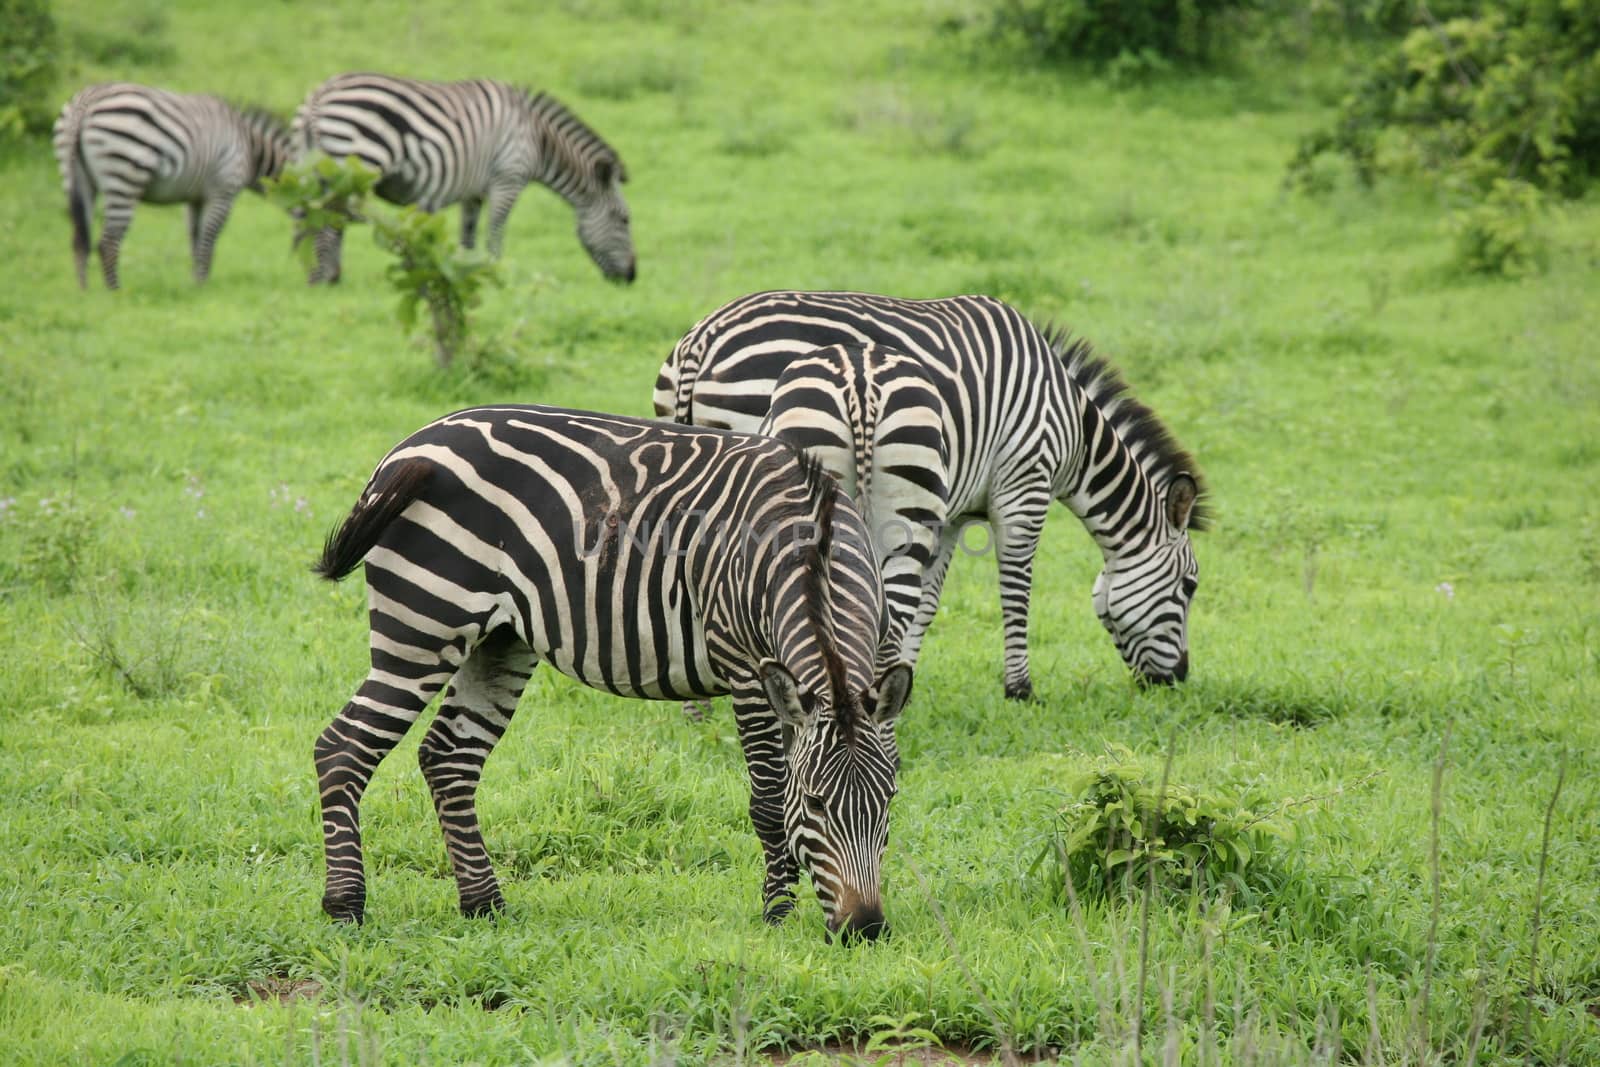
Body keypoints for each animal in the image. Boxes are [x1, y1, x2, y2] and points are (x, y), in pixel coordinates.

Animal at [51, 83, 296, 289]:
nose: (310, 282)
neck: (250, 149)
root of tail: (85, 104)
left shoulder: (196, 198)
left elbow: (196, 240)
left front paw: (196, 283)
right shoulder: (223, 191)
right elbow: (208, 240)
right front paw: (203, 285)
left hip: (77, 179)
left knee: (79, 241)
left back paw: (84, 293)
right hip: (124, 175)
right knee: (108, 242)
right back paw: (115, 293)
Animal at [291, 73, 633, 286]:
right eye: (624, 220)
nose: (632, 278)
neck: (539, 139)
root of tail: (318, 97)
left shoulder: (474, 191)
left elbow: (468, 234)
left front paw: (466, 271)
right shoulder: (508, 177)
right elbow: (496, 230)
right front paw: (496, 271)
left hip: (309, 167)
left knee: (308, 218)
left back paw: (312, 271)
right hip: (357, 160)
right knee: (331, 220)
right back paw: (329, 277)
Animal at [313, 404, 915, 940]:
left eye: (889, 800)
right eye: (814, 803)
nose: (865, 929)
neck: (809, 549)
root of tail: (411, 446)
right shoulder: (747, 672)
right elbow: (768, 801)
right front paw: (777, 915)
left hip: (501, 641)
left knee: (449, 758)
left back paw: (485, 906)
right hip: (424, 621)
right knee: (342, 747)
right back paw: (346, 907)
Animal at [652, 292, 1209, 697]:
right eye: (1189, 587)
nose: (1176, 682)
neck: (1072, 426)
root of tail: (703, 339)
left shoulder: (952, 511)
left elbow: (927, 599)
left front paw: (903, 676)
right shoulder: (1023, 484)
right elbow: (1017, 588)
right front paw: (1019, 688)